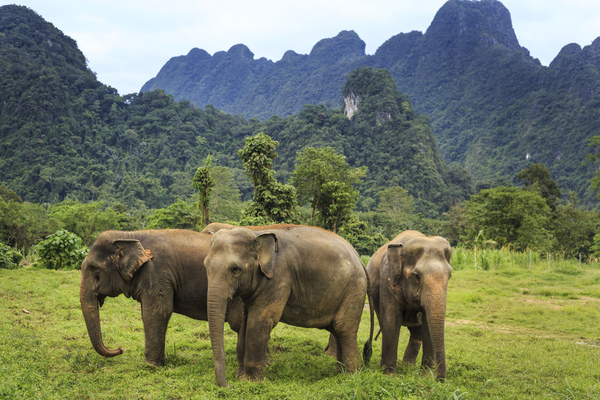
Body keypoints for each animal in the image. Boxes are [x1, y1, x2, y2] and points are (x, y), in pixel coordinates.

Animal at [79, 230, 246, 368]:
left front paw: (151, 365)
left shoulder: (156, 272)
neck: (129, 235)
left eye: (95, 269)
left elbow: (156, 313)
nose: (120, 349)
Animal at [203, 227, 370, 386]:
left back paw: (350, 376)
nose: (228, 385)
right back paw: (339, 374)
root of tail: (360, 260)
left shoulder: (278, 278)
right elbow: (246, 320)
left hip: (354, 290)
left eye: (236, 269)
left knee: (344, 329)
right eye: (205, 266)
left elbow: (260, 320)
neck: (256, 234)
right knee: (336, 329)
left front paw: (250, 382)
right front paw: (240, 377)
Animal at [364, 230, 452, 380]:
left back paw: (408, 367)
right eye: (416, 275)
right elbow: (391, 320)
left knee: (417, 332)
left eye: (450, 276)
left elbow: (427, 324)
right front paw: (389, 376)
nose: (439, 379)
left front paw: (425, 376)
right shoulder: (388, 278)